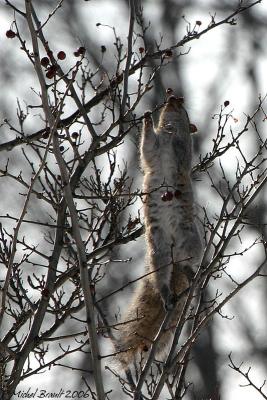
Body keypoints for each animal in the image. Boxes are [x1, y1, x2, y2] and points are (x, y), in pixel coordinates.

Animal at [114, 90, 202, 368]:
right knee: (164, 275)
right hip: (159, 252)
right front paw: (147, 119)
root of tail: (173, 247)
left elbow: (181, 147)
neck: (167, 132)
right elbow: (147, 144)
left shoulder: (182, 151)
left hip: (189, 241)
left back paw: (190, 273)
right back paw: (166, 294)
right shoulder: (152, 149)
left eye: (185, 112)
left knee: (187, 262)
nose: (173, 100)